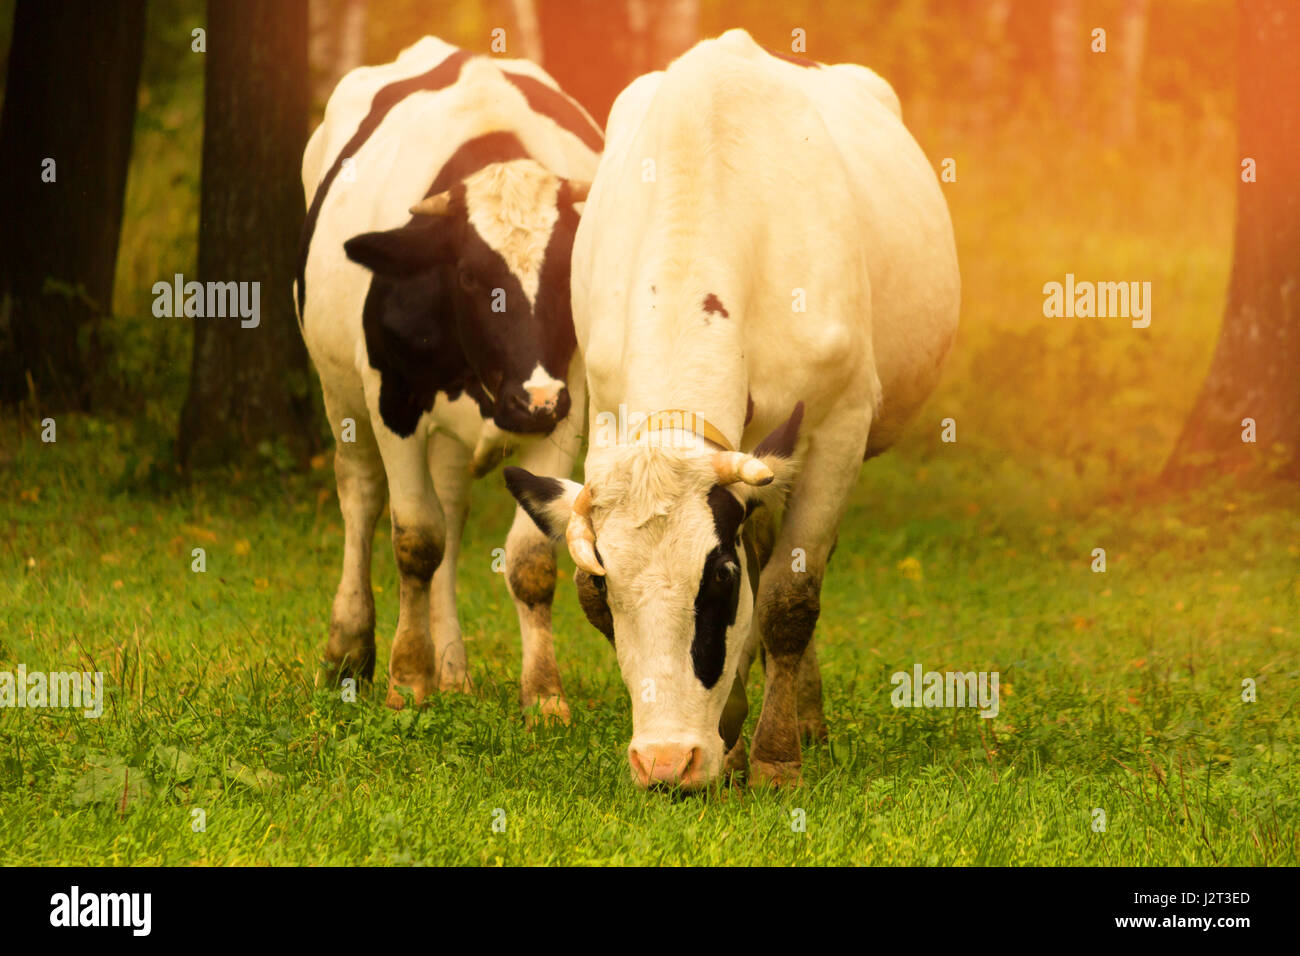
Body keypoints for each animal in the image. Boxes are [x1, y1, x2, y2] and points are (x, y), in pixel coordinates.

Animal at [295, 36, 602, 718]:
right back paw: (348, 647)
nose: (533, 398)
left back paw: (454, 668)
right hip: (340, 395)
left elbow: (530, 558)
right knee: (361, 497)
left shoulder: (567, 405)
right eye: (468, 276)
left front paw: (544, 696)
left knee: (454, 512)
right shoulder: (392, 399)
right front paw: (408, 678)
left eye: (567, 271)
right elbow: (415, 539)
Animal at [505, 29, 960, 788]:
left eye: (715, 578)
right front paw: (730, 737)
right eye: (604, 591)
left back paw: (801, 722)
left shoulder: (838, 426)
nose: (664, 761)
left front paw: (776, 758)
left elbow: (787, 598)